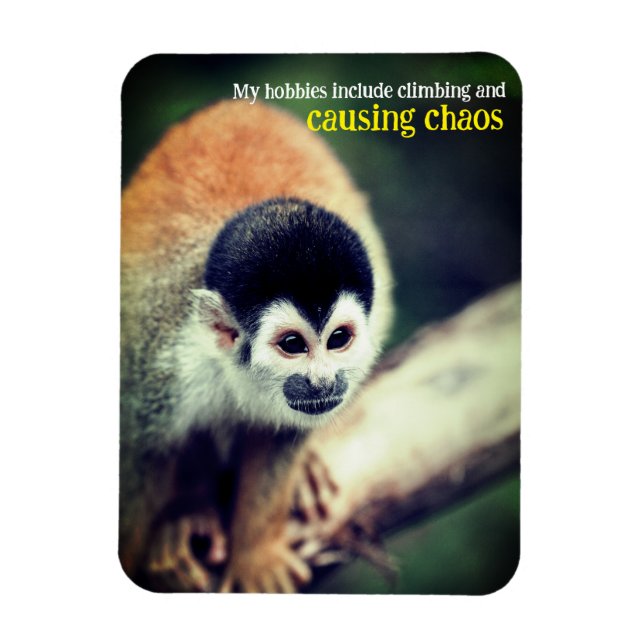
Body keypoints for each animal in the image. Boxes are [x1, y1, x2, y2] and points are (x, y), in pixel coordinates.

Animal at [120, 99, 393, 592]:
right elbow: (139, 451)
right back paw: (189, 513)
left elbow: (282, 437)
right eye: (292, 344)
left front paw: (255, 554)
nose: (323, 380)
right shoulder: (157, 366)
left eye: (338, 339)